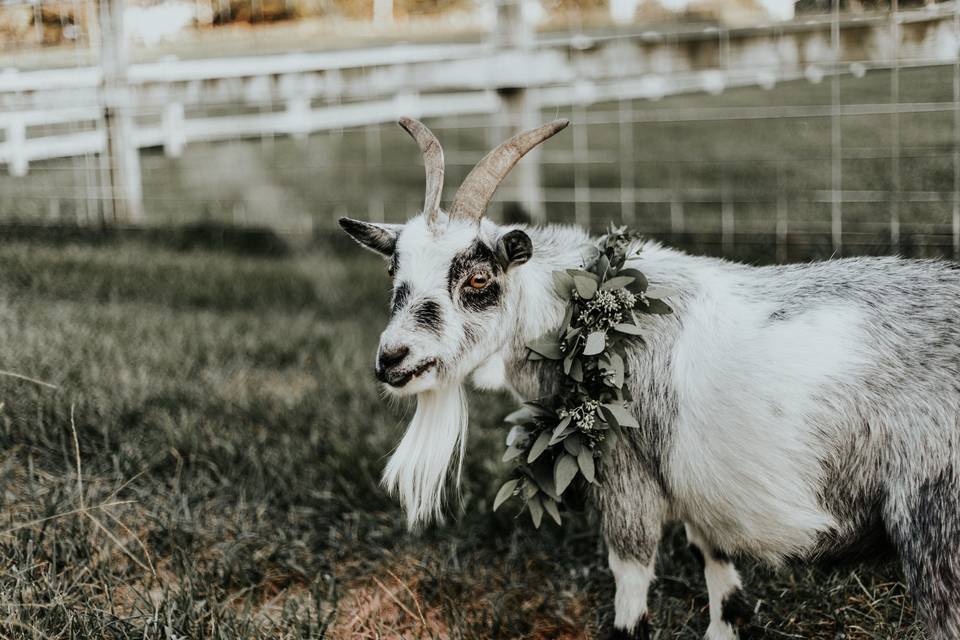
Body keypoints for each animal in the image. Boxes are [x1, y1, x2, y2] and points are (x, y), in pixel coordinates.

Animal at [338, 119, 960, 640]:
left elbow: (631, 606)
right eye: (394, 271)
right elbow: (723, 584)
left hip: (935, 528)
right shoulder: (698, 491)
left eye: (478, 279)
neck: (588, 316)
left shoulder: (627, 476)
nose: (392, 359)